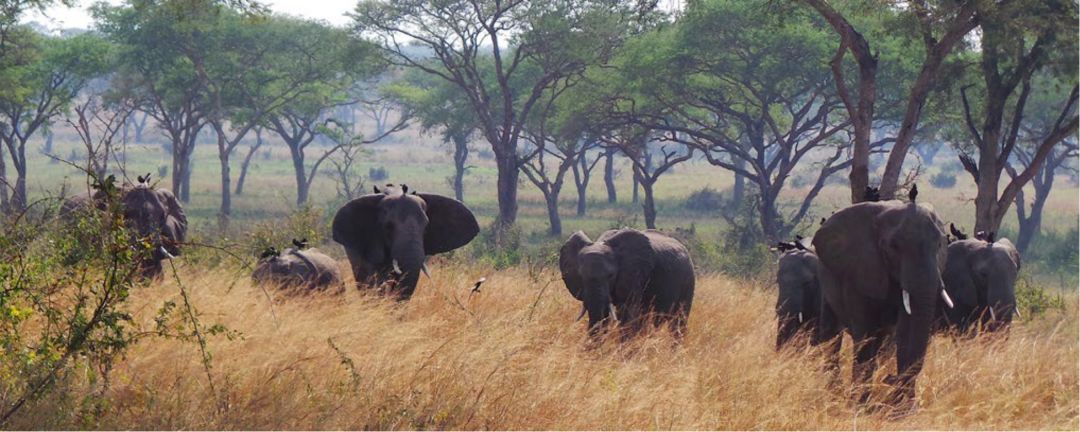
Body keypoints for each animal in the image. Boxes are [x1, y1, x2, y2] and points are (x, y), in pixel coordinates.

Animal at [561, 227, 695, 339]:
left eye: (611, 275)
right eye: (581, 276)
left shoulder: (635, 276)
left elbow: (628, 315)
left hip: (688, 280)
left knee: (678, 321)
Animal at [812, 186, 950, 408]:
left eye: (939, 245)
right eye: (893, 247)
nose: (889, 379)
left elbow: (906, 330)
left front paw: (902, 407)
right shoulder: (858, 269)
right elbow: (864, 334)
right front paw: (860, 404)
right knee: (832, 335)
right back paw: (834, 393)